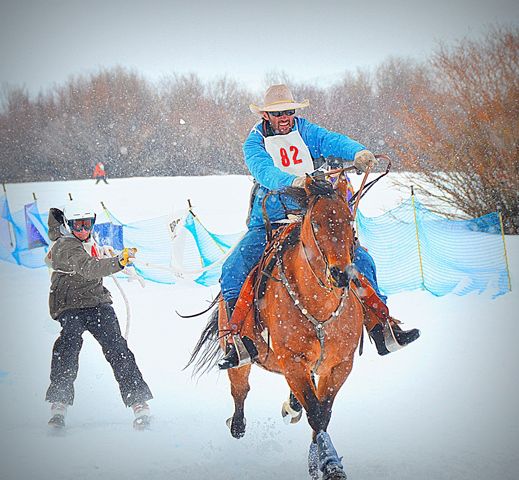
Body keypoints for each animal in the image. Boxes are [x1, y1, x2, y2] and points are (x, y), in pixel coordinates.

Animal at [189, 173, 364, 480]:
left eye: (348, 219)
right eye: (316, 223)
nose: (341, 274)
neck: (319, 306)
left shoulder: (340, 364)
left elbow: (324, 411)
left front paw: (320, 461)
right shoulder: (293, 363)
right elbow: (316, 412)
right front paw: (328, 463)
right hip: (239, 354)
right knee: (240, 391)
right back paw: (237, 423)